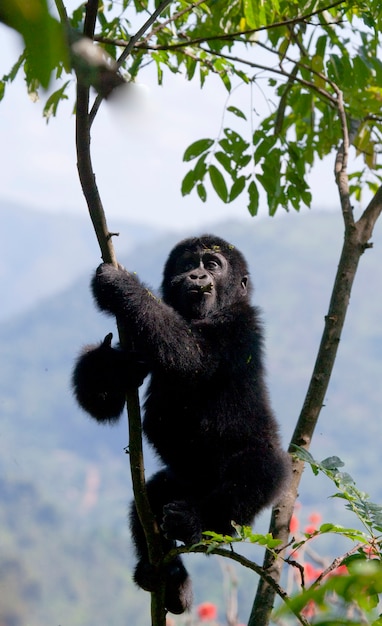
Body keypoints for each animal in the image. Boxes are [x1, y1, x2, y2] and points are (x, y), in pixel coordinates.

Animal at [73, 236, 290, 612]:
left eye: (213, 265)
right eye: (187, 263)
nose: (197, 275)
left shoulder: (239, 324)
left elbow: (192, 356)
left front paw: (121, 285)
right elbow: (103, 404)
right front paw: (109, 365)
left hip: (250, 467)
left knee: (257, 471)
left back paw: (195, 523)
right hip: (185, 482)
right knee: (151, 495)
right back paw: (169, 576)